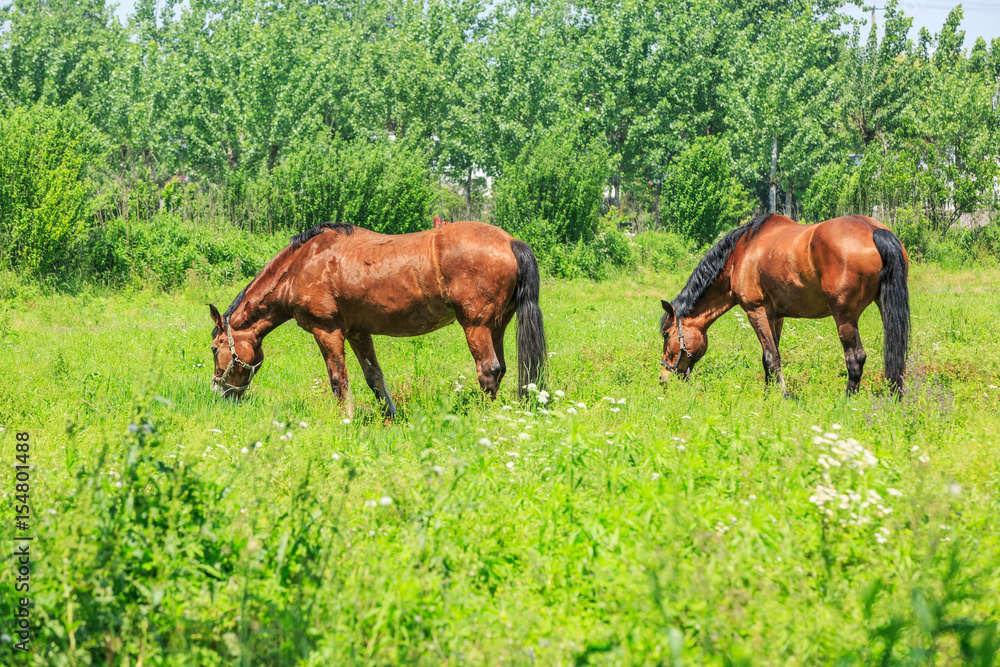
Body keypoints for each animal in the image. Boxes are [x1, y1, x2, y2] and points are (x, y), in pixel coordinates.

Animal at [206, 220, 544, 418]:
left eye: (214, 348)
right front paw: (389, 417)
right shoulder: (358, 333)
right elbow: (374, 377)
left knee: (488, 370)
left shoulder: (327, 331)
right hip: (496, 326)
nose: (218, 393)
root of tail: (510, 241)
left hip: (476, 326)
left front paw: (344, 420)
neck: (302, 264)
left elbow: (338, 380)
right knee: (500, 369)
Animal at [660, 215, 912, 396]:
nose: (663, 376)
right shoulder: (775, 317)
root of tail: (876, 231)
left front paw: (782, 395)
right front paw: (768, 394)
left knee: (855, 358)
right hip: (885, 307)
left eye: (666, 334)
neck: (740, 253)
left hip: (845, 317)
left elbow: (771, 357)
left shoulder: (756, 311)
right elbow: (770, 357)